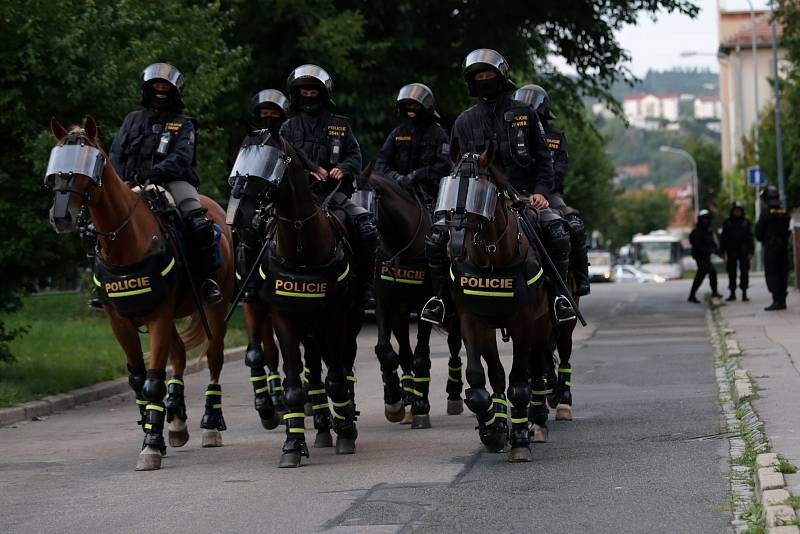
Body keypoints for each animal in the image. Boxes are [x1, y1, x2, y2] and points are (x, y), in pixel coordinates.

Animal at [45, 117, 234, 474]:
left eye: (90, 164)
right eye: (57, 164)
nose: (61, 216)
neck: (126, 241)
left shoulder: (158, 316)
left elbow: (152, 381)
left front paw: (151, 445)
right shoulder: (120, 322)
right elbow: (138, 380)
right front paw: (154, 430)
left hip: (215, 309)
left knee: (213, 358)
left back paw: (210, 426)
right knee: (179, 356)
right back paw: (176, 421)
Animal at [440, 150, 552, 464]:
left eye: (480, 194)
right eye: (448, 191)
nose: (455, 247)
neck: (492, 259)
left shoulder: (524, 324)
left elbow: (520, 382)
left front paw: (520, 439)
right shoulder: (471, 321)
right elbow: (478, 380)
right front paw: (492, 430)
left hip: (542, 327)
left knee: (537, 369)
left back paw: (536, 422)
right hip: (490, 329)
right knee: (498, 373)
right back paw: (500, 419)